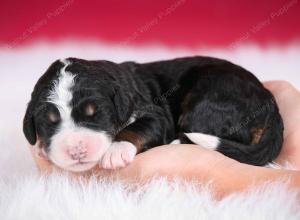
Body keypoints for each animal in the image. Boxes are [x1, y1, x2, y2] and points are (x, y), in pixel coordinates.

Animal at [22, 55, 284, 171]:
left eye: (95, 114)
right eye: (49, 122)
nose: (76, 150)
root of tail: (270, 102)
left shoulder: (156, 114)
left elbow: (136, 128)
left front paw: (116, 150)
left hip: (207, 102)